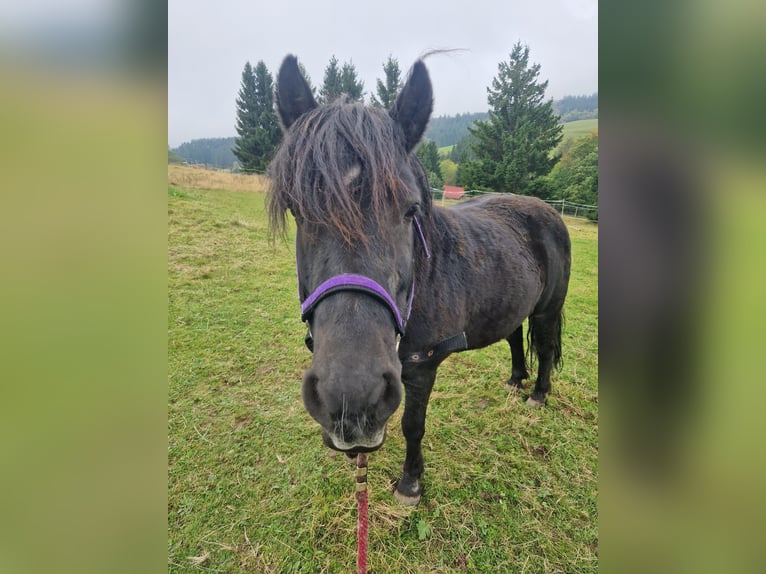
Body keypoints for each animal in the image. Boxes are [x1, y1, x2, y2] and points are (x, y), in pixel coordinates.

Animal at [268, 55, 571, 506]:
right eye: (297, 210)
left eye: (410, 210)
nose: (351, 396)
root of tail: (549, 211)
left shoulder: (421, 365)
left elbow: (413, 425)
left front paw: (410, 483)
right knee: (515, 337)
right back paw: (516, 380)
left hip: (548, 309)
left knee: (547, 348)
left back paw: (537, 393)